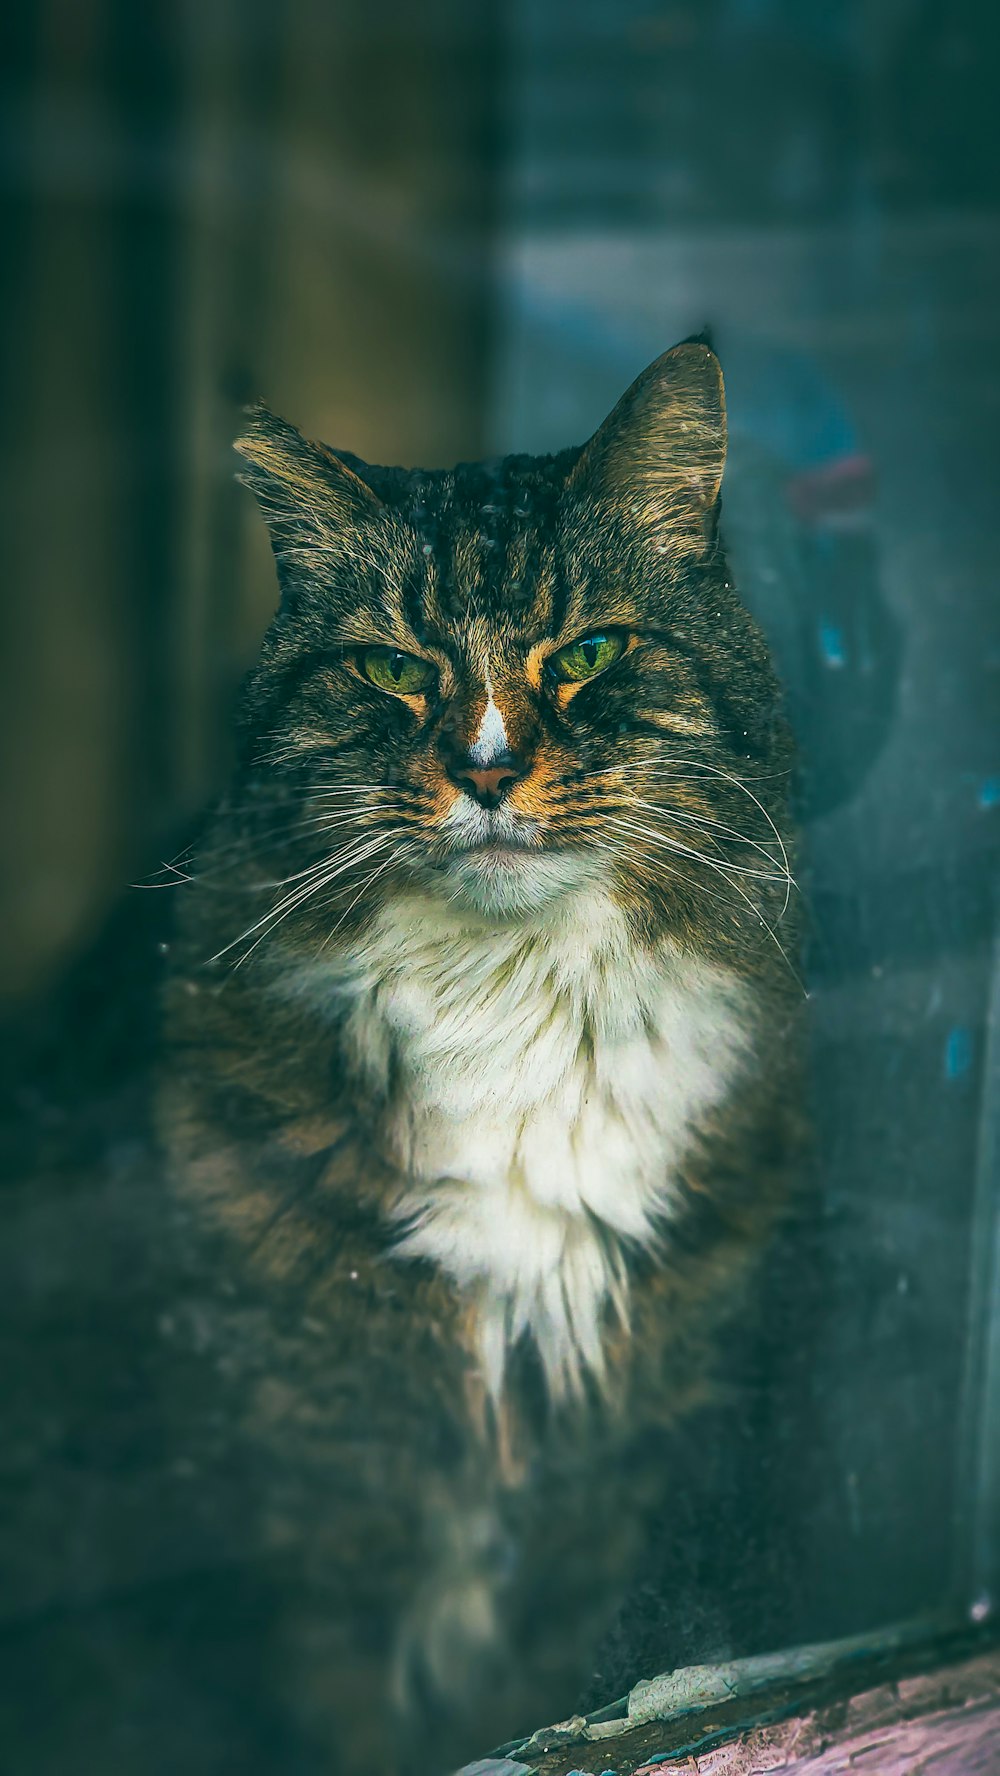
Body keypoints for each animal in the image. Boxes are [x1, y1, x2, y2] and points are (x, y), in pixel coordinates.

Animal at [160, 339, 802, 1768]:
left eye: (593, 652)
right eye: (393, 672)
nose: (489, 771)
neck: (511, 1005)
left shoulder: (615, 1471)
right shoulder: (319, 1503)